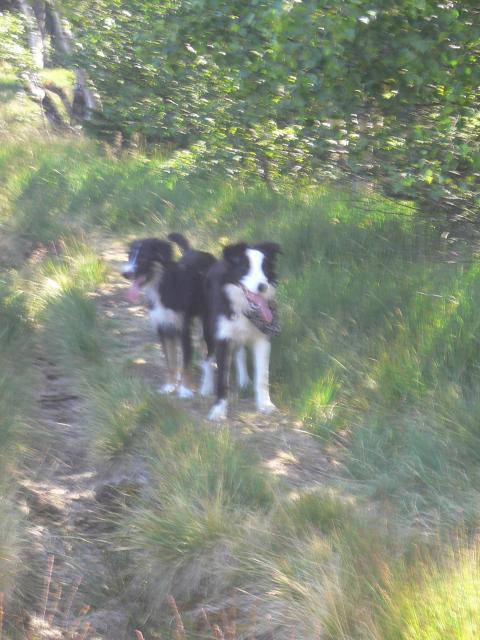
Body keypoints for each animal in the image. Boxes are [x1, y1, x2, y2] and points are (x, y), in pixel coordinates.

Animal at [122, 235, 216, 396]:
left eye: (144, 257)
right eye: (130, 256)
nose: (125, 274)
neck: (162, 285)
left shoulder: (183, 329)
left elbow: (185, 361)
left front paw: (185, 390)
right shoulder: (163, 328)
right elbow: (170, 361)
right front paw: (169, 386)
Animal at [202, 241, 282, 420]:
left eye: (265, 267)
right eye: (245, 268)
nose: (262, 287)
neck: (244, 308)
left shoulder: (262, 338)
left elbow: (262, 376)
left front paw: (265, 404)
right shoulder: (222, 337)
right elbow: (222, 378)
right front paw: (218, 409)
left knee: (240, 352)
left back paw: (244, 380)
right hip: (209, 329)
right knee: (208, 357)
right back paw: (205, 386)